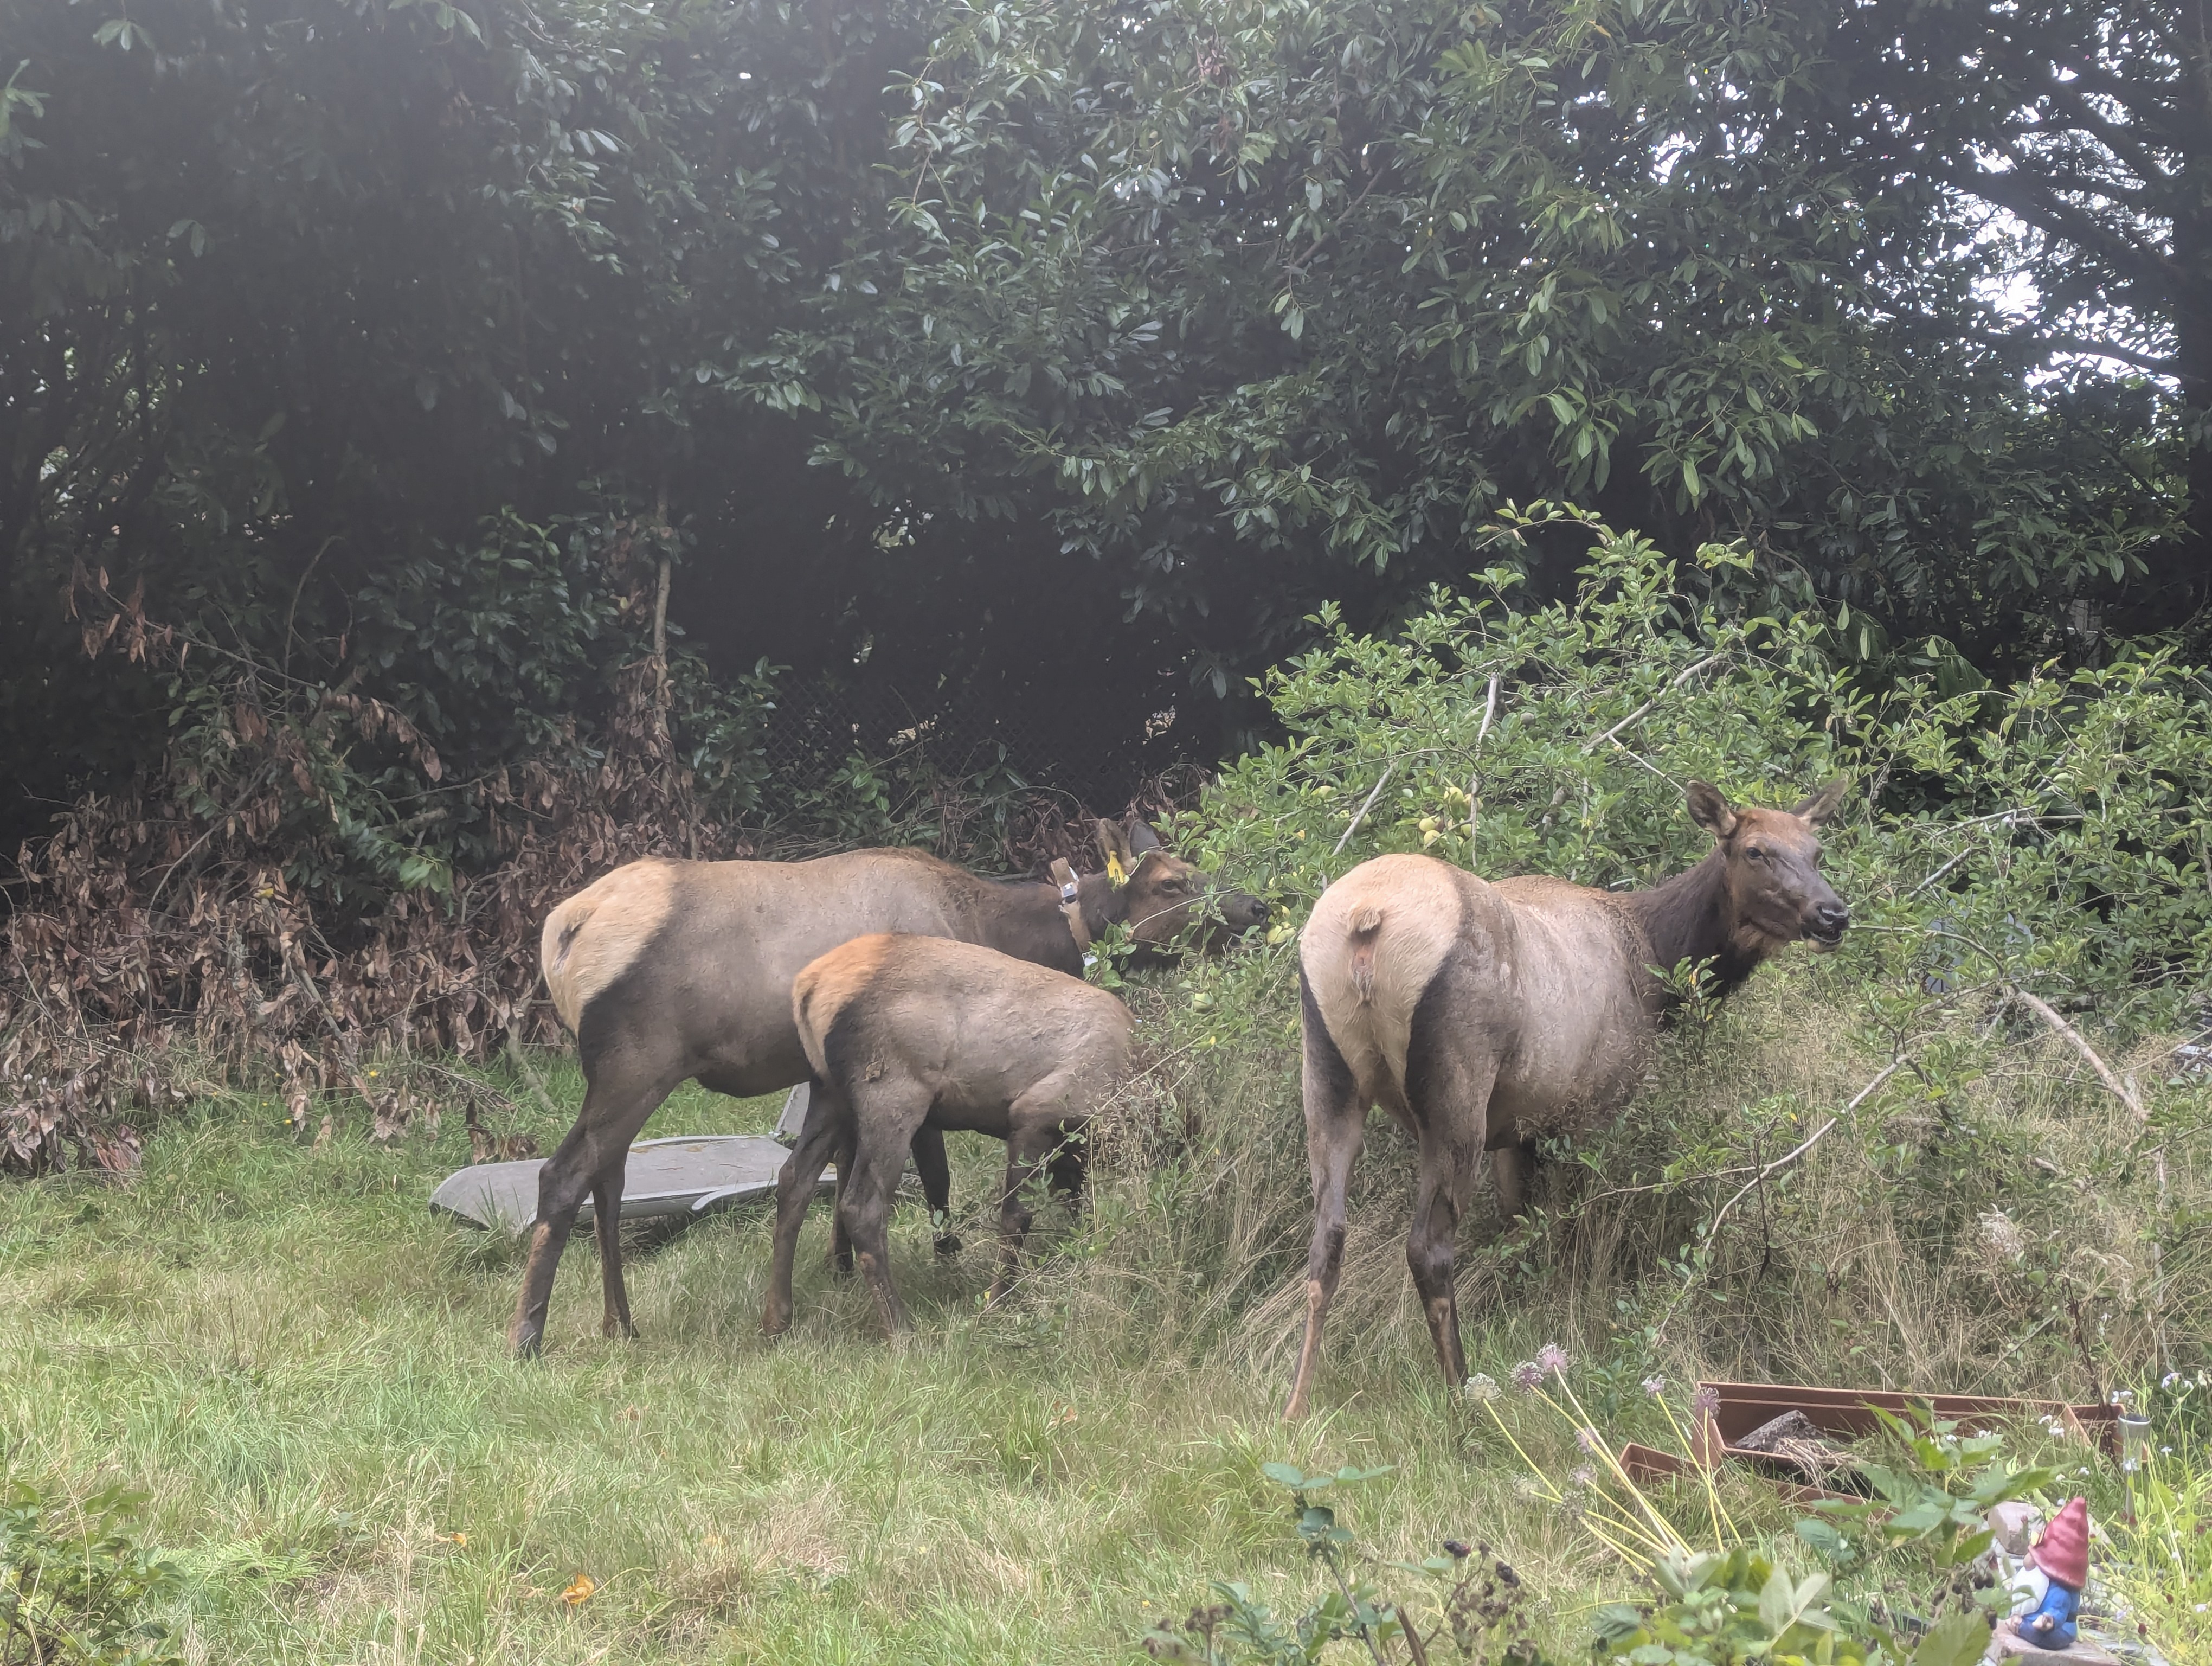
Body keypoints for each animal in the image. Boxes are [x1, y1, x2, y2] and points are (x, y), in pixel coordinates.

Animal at [766, 933, 1134, 1338]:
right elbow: (1017, 1216)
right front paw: (997, 1303)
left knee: (793, 1180)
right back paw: (899, 1326)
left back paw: (777, 1317)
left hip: (827, 1091)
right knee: (861, 1205)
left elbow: (1078, 1206)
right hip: (892, 1095)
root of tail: (809, 987)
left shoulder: (1069, 1148)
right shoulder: (1034, 1114)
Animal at [1283, 779, 1849, 1419]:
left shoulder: (1518, 1129)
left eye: (1816, 850)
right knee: (1428, 1246)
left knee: (1326, 1239)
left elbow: (1521, 1228)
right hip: (1457, 1087)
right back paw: (1463, 1399)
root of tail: (1367, 920)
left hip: (1326, 1071)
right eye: (1755, 851)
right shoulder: (1591, 1109)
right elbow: (1576, 1233)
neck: (1658, 968)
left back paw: (1296, 1406)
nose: (1833, 914)